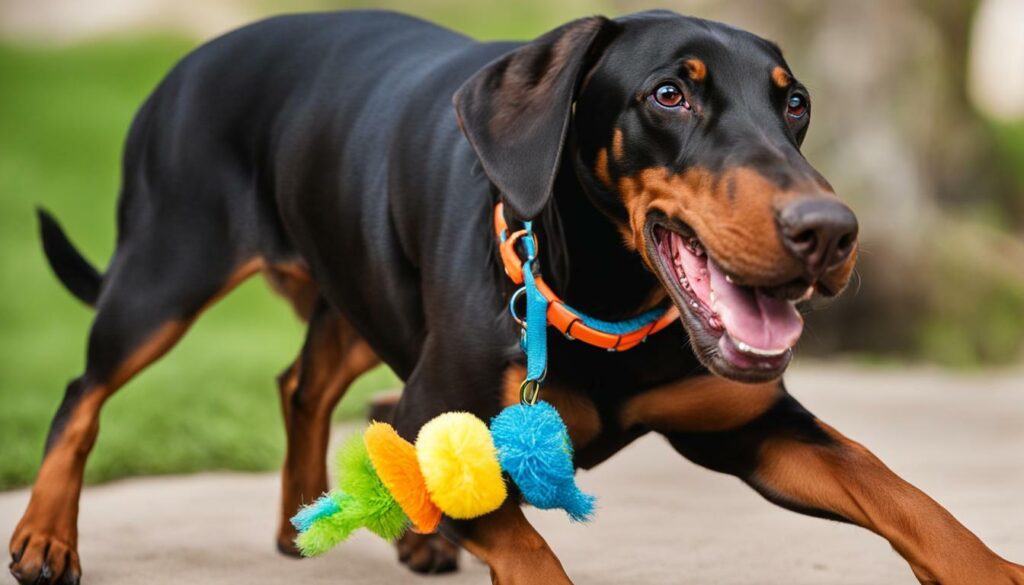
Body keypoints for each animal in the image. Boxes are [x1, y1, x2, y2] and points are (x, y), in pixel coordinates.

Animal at [9, 9, 1024, 585]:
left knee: (304, 382)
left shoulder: (751, 425)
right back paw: (45, 537)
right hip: (164, 273)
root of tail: (188, 63)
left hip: (361, 283)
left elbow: (903, 493)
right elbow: (530, 550)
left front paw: (995, 568)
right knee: (83, 392)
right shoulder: (434, 402)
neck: (606, 298)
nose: (833, 231)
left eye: (796, 102)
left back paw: (318, 521)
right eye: (670, 94)